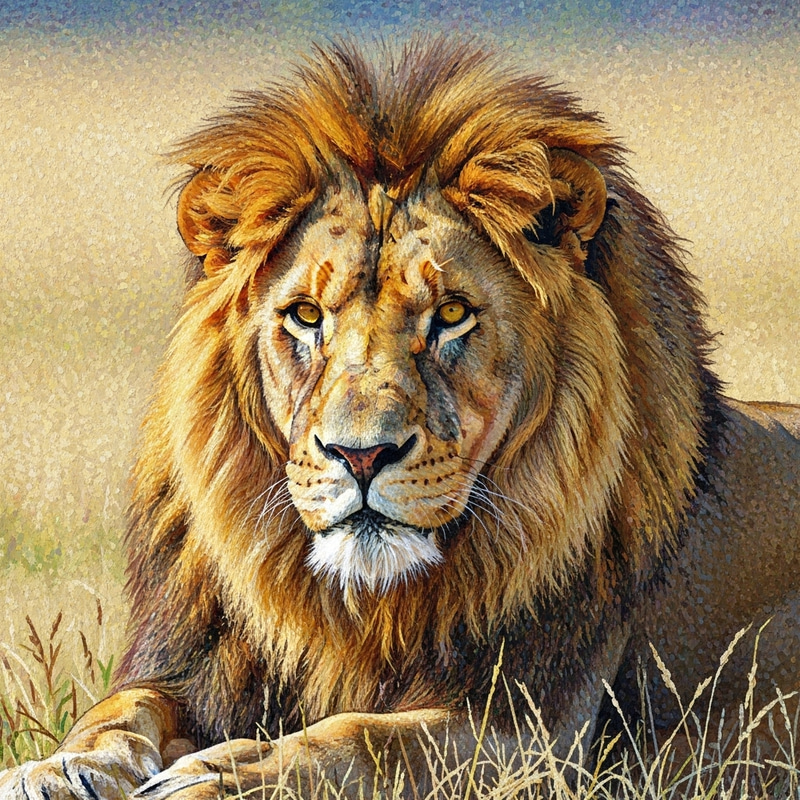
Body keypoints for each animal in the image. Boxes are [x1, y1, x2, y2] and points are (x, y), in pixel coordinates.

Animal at [2, 38, 799, 799]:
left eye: (451, 314)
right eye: (305, 316)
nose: (360, 456)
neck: (359, 609)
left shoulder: (545, 737)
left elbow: (370, 740)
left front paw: (225, 776)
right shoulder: (194, 670)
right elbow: (119, 710)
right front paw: (58, 768)